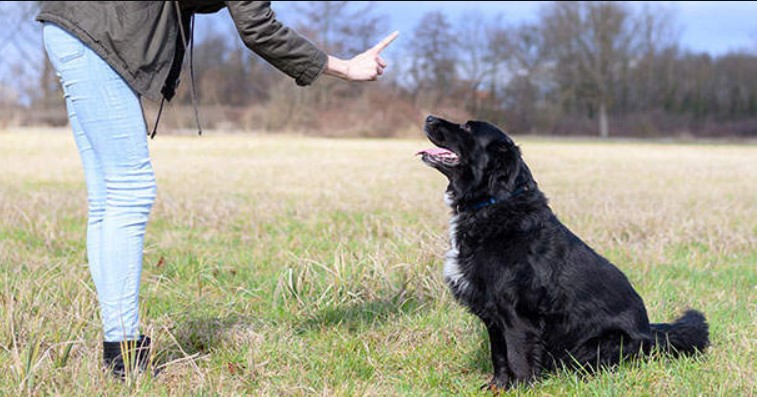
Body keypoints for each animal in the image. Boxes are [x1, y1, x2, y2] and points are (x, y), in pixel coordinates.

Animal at [420, 114, 708, 386]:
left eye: (467, 127)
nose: (429, 118)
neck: (493, 203)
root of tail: (650, 332)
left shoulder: (517, 314)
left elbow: (517, 356)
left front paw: (520, 387)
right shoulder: (493, 313)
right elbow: (499, 356)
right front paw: (498, 386)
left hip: (596, 346)